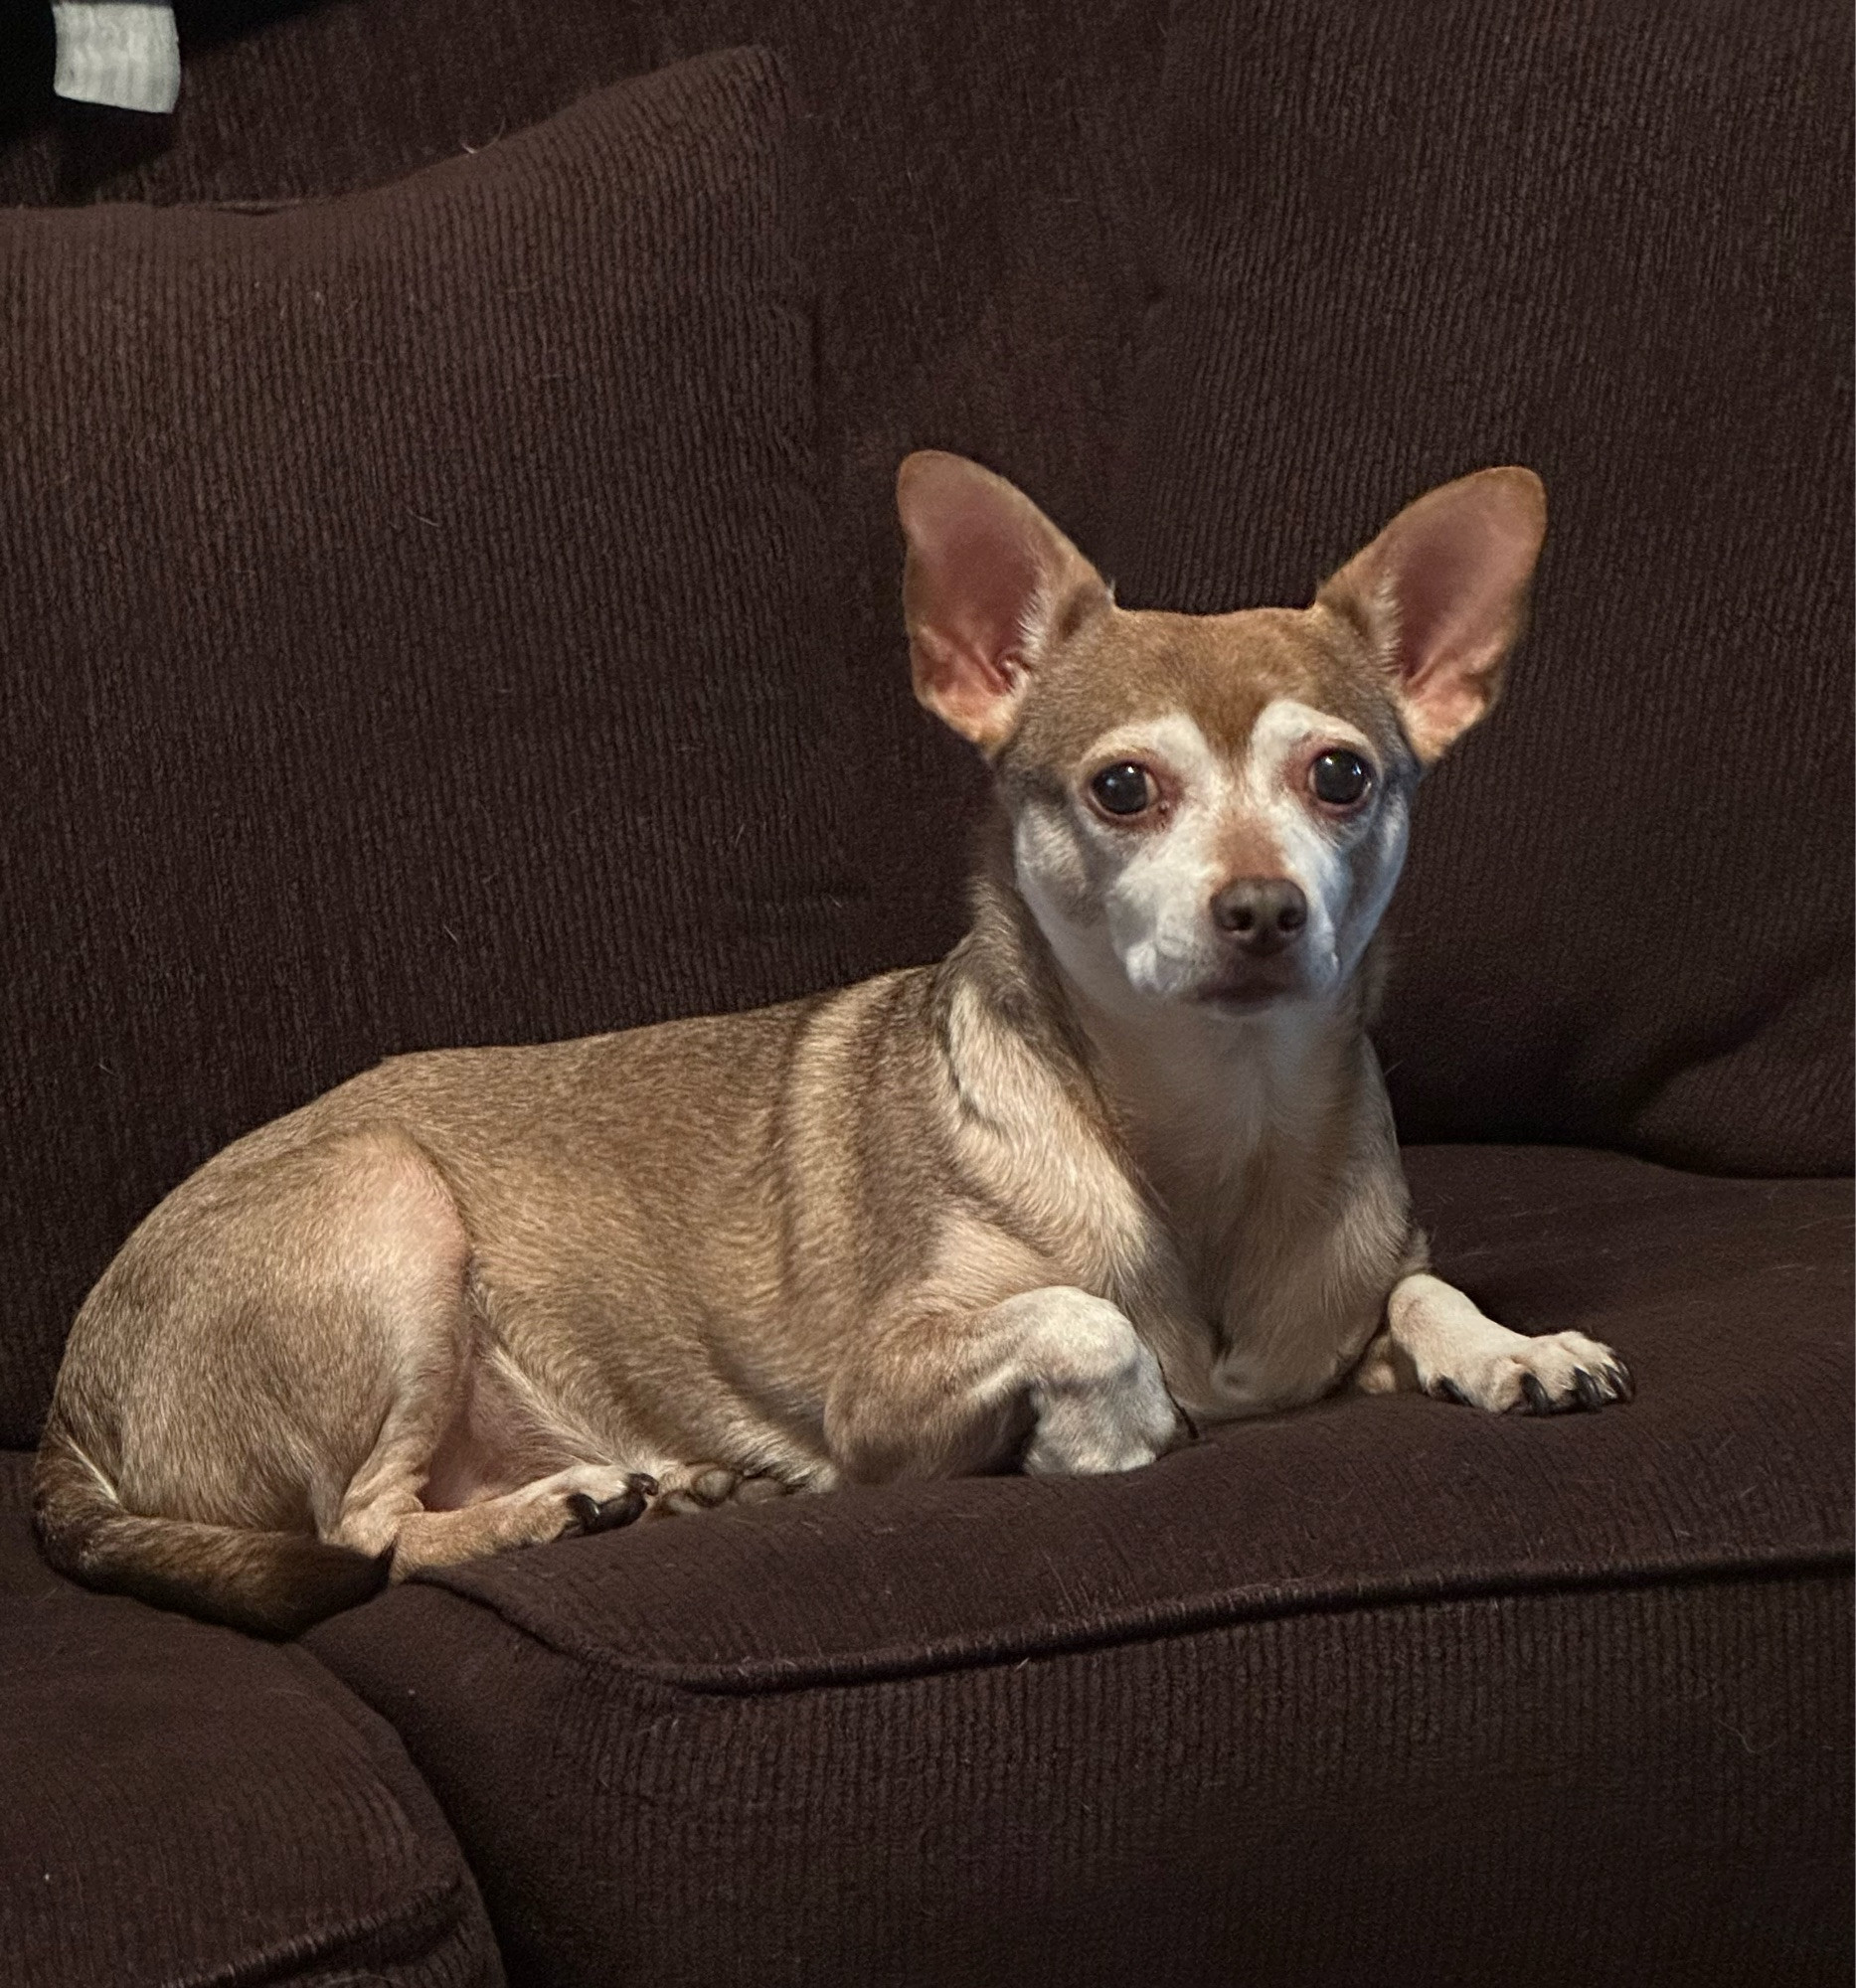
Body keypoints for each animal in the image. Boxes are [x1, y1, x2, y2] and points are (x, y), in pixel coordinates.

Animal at [29, 451, 1629, 1630]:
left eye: (1341, 776)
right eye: (1121, 788)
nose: (1261, 908)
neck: (1199, 1135)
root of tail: (66, 1416)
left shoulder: (1329, 1329)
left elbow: (1415, 1288)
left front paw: (1512, 1348)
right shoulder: (884, 1396)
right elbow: (1087, 1318)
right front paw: (1108, 1432)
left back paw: (655, 1487)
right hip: (391, 1211)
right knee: (369, 1530)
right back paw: (552, 1508)